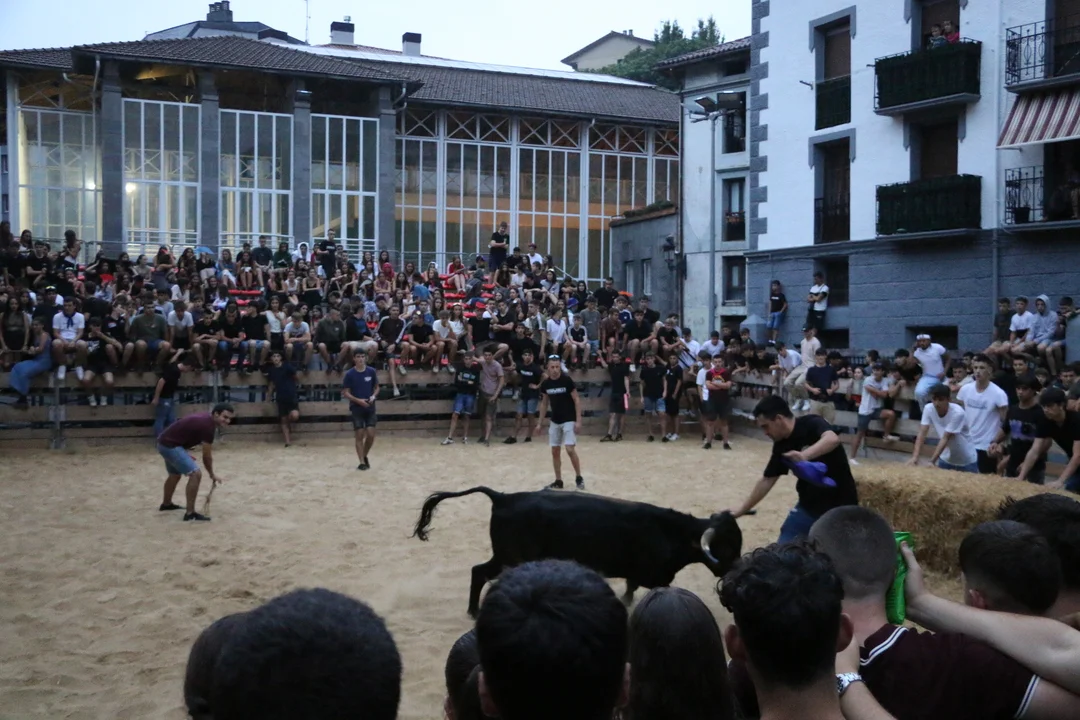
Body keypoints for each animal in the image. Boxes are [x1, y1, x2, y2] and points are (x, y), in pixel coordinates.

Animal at [412, 486, 742, 617]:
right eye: (726, 546)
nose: (735, 572)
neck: (671, 532)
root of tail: (503, 497)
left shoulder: (638, 572)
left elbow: (630, 587)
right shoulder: (652, 575)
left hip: (504, 557)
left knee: (478, 572)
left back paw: (473, 610)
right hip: (511, 557)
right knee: (480, 573)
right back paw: (474, 611)